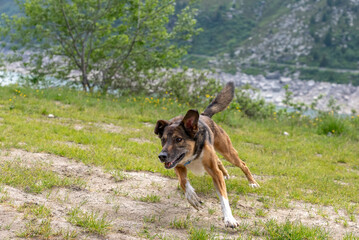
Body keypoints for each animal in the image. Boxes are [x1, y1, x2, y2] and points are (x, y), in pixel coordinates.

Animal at [154, 82, 258, 229]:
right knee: (220, 161)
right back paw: (226, 174)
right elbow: (183, 181)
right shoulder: (178, 165)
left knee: (242, 164)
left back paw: (252, 182)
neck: (192, 155)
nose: (161, 156)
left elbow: (224, 198)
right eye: (163, 140)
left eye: (178, 139)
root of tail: (204, 115)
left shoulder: (214, 171)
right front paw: (192, 197)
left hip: (227, 151)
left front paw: (229, 218)